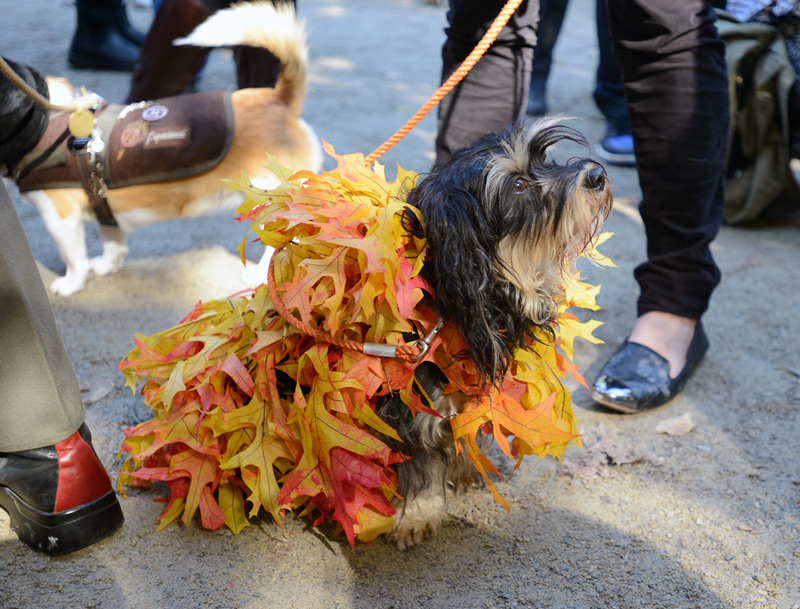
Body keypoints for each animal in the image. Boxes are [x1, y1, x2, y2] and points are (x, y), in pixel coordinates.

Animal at [11, 0, 318, 294]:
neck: (47, 119)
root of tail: (279, 99)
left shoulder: (60, 219)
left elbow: (74, 259)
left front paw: (71, 284)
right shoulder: (103, 208)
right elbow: (111, 241)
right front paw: (107, 266)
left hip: (269, 203)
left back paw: (262, 275)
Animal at [378, 119, 608, 548]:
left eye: (544, 159)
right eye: (517, 184)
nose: (597, 175)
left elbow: (466, 430)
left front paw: (467, 469)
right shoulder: (409, 409)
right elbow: (419, 466)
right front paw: (415, 516)